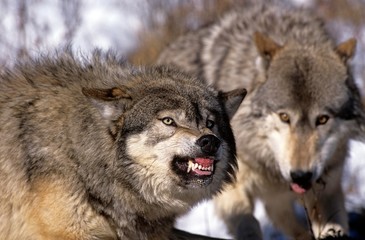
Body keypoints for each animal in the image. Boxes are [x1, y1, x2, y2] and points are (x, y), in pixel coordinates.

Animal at [157, 2, 364, 240]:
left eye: (322, 119)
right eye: (284, 117)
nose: (301, 176)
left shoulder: (329, 185)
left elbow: (333, 221)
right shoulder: (233, 188)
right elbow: (248, 224)